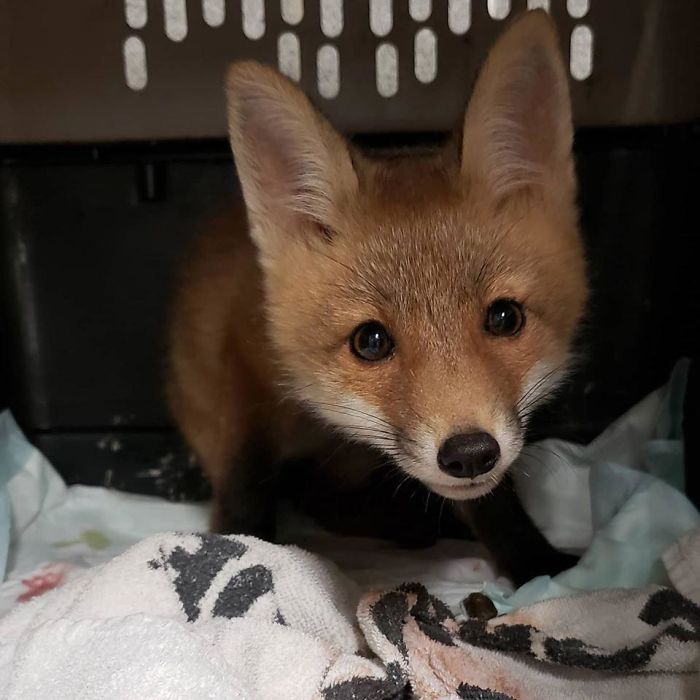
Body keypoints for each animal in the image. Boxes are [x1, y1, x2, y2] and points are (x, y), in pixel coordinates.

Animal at [167, 10, 588, 586]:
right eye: (370, 341)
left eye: (505, 317)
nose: (470, 454)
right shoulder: (237, 362)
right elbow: (245, 480)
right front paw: (241, 545)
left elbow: (495, 503)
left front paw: (538, 565)